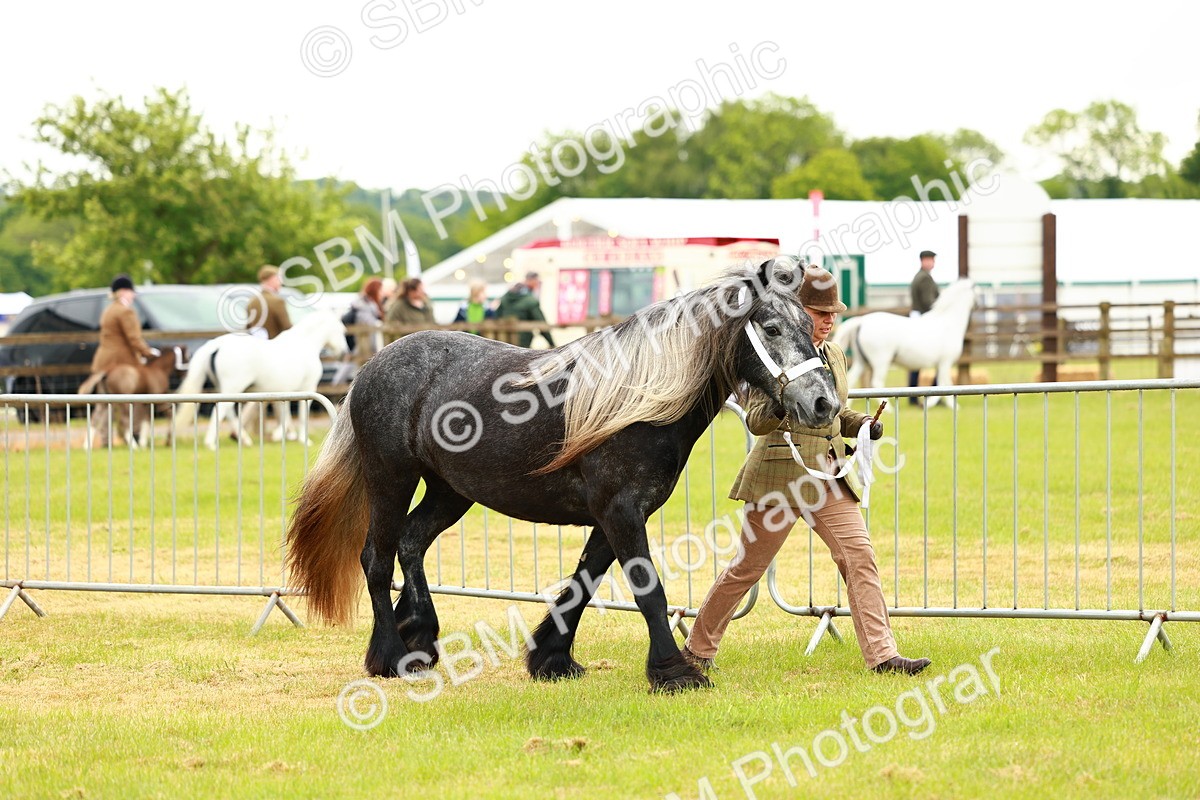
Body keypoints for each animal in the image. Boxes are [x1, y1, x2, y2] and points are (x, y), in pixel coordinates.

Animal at [172, 310, 349, 449]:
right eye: (341, 329)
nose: (343, 352)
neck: (305, 344)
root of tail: (216, 345)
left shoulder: (284, 391)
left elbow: (285, 414)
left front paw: (282, 436)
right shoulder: (309, 387)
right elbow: (301, 415)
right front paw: (303, 440)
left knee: (228, 412)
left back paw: (244, 439)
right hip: (233, 387)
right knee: (220, 410)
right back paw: (211, 443)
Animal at [285, 258, 841, 693]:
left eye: (809, 326)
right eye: (772, 328)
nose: (823, 403)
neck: (639, 401)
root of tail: (372, 366)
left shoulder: (615, 516)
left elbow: (584, 583)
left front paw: (551, 658)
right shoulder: (621, 511)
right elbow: (648, 590)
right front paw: (674, 673)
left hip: (450, 492)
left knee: (412, 542)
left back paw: (420, 637)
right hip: (390, 480)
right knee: (376, 559)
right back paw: (391, 656)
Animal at [831, 278, 977, 408]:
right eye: (976, 290)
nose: (978, 303)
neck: (948, 323)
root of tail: (861, 321)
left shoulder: (940, 364)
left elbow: (941, 383)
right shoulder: (945, 362)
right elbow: (944, 383)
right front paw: (946, 404)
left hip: (862, 361)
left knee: (850, 379)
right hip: (881, 361)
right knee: (876, 382)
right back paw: (888, 409)